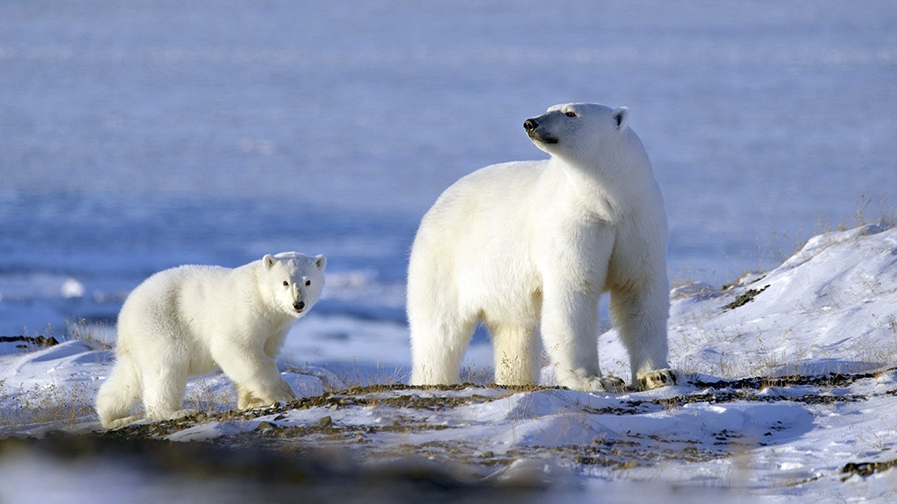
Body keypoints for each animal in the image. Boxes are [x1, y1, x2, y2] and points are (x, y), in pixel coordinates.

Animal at [406, 102, 672, 392]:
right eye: (549, 108)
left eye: (570, 113)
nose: (530, 123)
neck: (607, 203)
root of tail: (438, 202)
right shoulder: (572, 224)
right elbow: (573, 295)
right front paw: (596, 379)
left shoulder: (637, 221)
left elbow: (638, 290)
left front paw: (658, 374)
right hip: (444, 263)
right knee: (440, 333)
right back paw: (431, 380)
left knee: (514, 333)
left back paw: (515, 380)